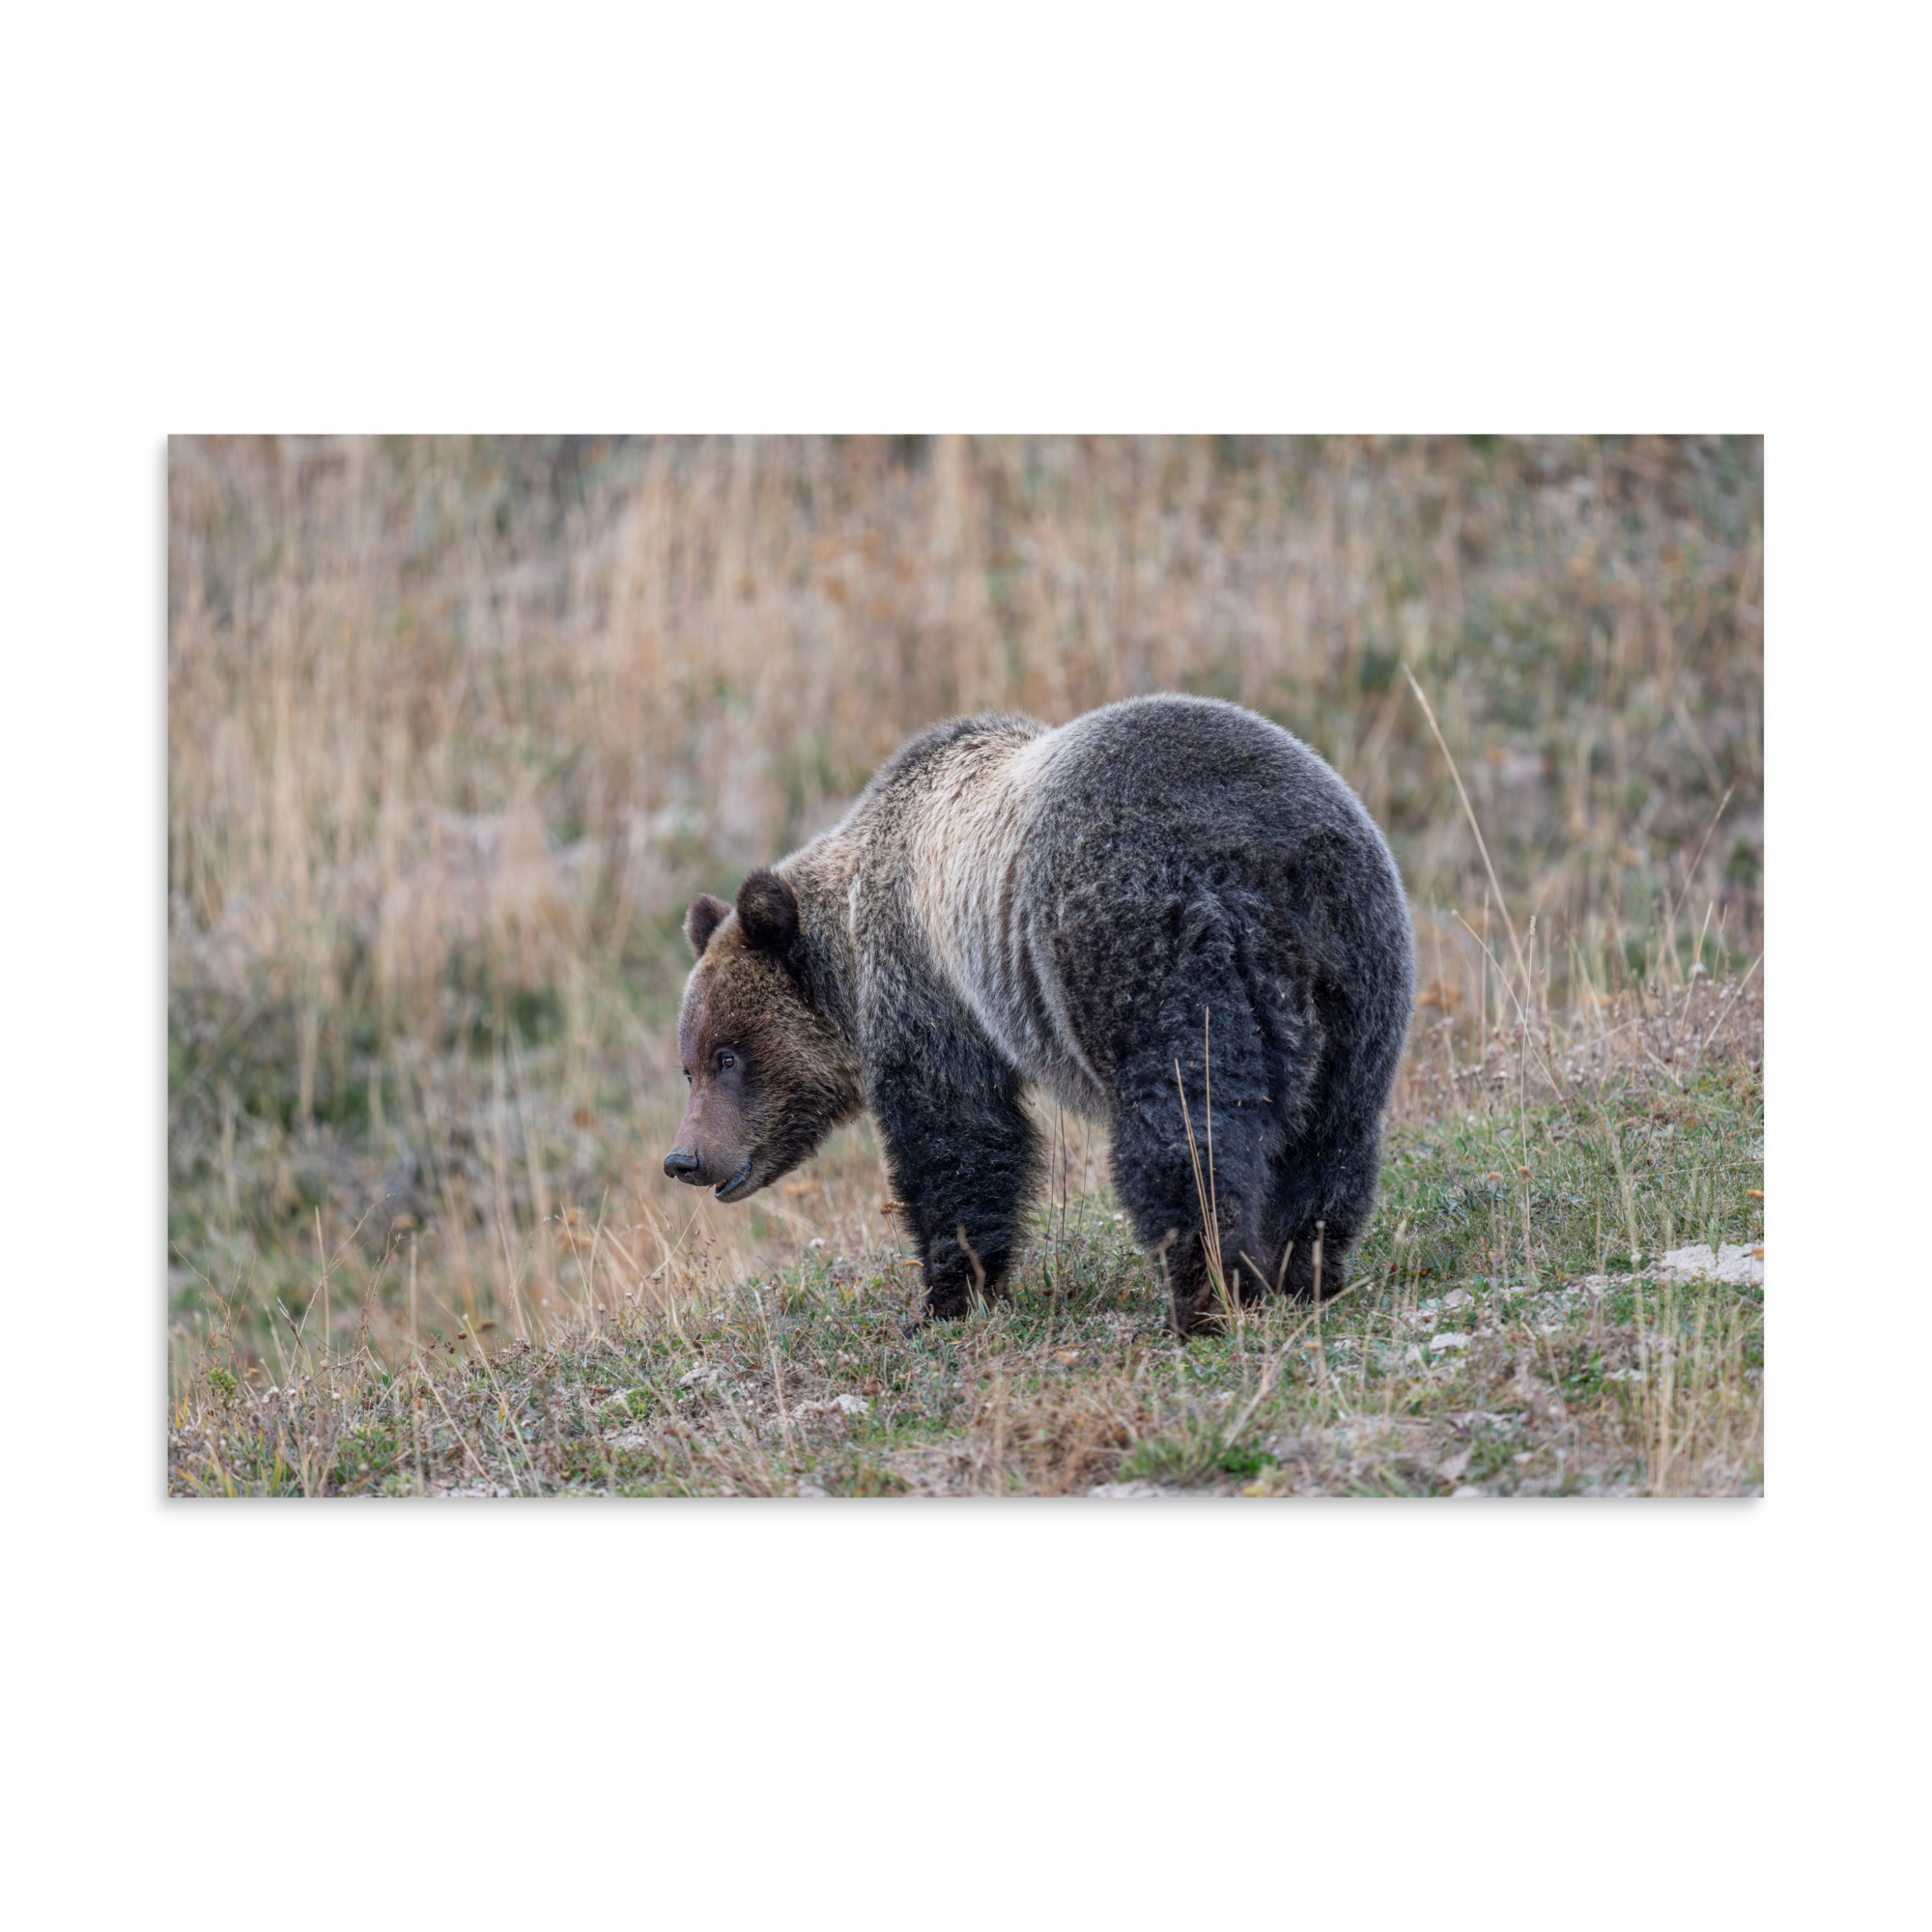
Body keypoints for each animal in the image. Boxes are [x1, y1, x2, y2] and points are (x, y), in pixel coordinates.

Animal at [663, 692, 1414, 1334]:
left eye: (728, 1056)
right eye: (689, 1065)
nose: (684, 1158)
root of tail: (1267, 856)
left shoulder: (929, 985)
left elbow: (957, 1137)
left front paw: (946, 1297)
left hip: (1145, 942)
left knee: (1186, 1127)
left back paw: (1206, 1295)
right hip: (1359, 964)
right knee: (1333, 1132)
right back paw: (1303, 1270)